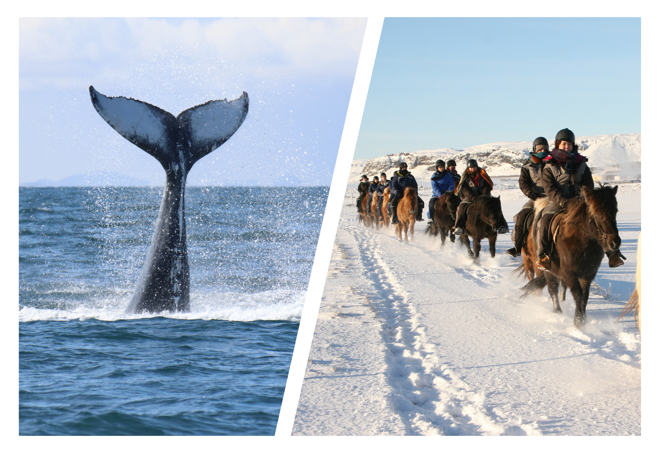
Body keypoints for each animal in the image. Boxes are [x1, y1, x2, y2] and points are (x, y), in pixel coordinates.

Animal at [520, 184, 624, 328]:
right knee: (552, 288)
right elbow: (577, 294)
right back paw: (557, 311)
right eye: (596, 214)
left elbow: (584, 295)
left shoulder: (588, 274)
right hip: (545, 269)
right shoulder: (569, 274)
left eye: (615, 211)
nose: (615, 242)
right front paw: (578, 321)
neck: (581, 242)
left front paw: (583, 319)